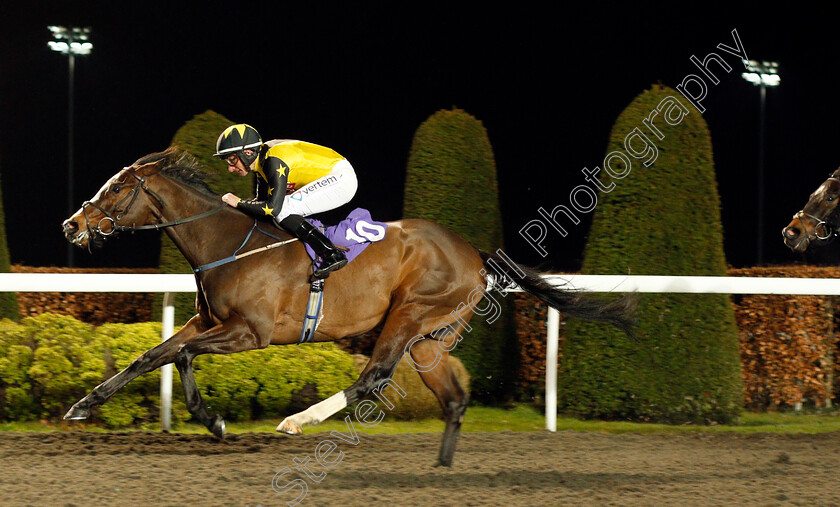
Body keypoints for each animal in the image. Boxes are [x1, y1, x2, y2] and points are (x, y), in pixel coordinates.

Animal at [60, 148, 636, 468]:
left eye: (116, 188)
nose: (72, 224)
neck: (227, 241)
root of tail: (475, 253)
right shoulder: (209, 321)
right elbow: (151, 357)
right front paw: (84, 405)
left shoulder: (249, 333)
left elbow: (180, 357)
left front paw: (215, 421)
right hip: (429, 341)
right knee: (452, 399)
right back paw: (441, 469)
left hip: (409, 315)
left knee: (373, 378)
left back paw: (297, 421)